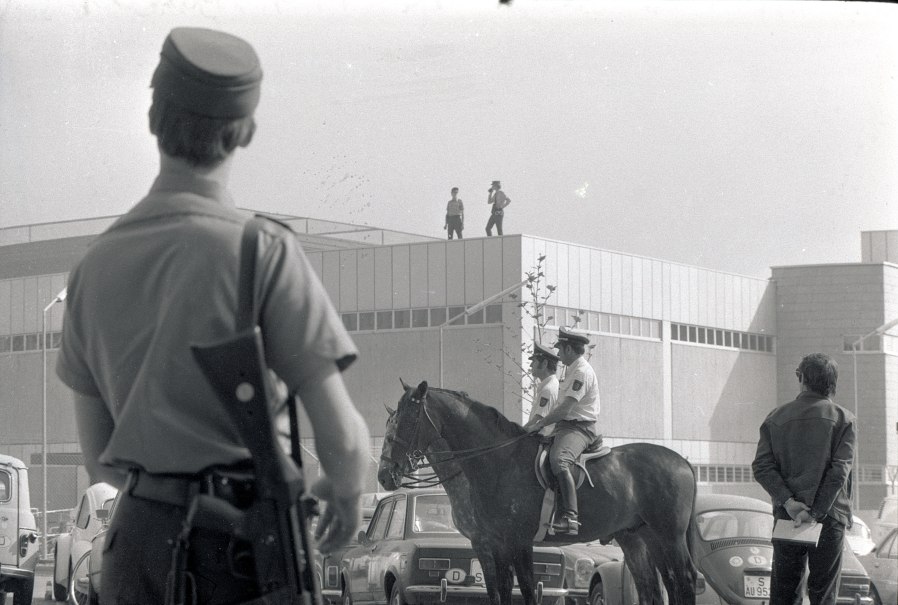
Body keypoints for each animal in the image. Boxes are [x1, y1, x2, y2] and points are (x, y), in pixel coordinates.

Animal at [374, 380, 696, 604]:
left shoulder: (518, 542)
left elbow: (527, 592)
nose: (384, 475)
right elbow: (499, 593)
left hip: (669, 537)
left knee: (685, 580)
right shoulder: (493, 545)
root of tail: (683, 462)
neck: (497, 461)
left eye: (407, 421)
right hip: (639, 538)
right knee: (657, 587)